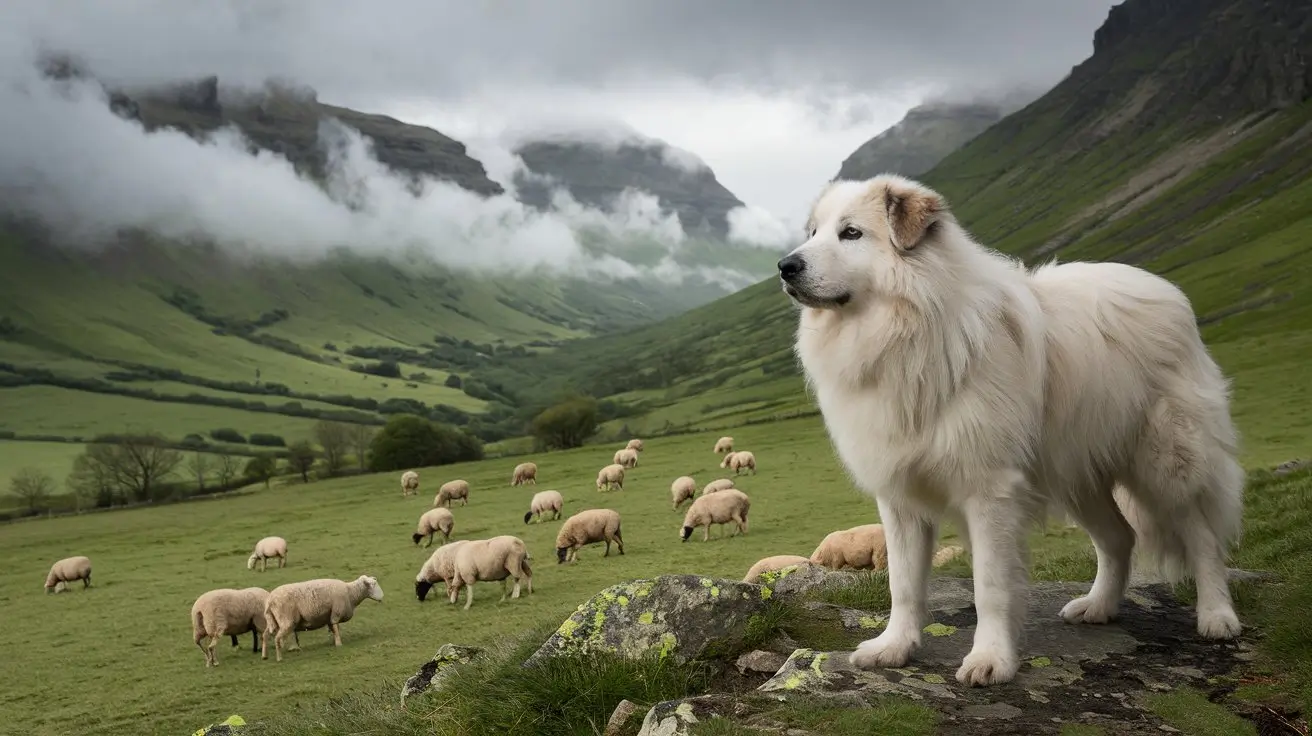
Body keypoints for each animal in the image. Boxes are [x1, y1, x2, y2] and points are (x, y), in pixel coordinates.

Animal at [781, 174, 1243, 687]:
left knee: (1202, 536)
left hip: (1165, 463)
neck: (909, 329)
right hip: (1078, 473)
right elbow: (903, 584)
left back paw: (1217, 616)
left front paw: (991, 659)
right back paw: (1099, 606)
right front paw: (894, 647)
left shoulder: (990, 493)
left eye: (852, 233)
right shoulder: (900, 496)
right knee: (1119, 538)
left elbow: (991, 587)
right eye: (814, 232)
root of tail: (1164, 290)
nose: (786, 266)